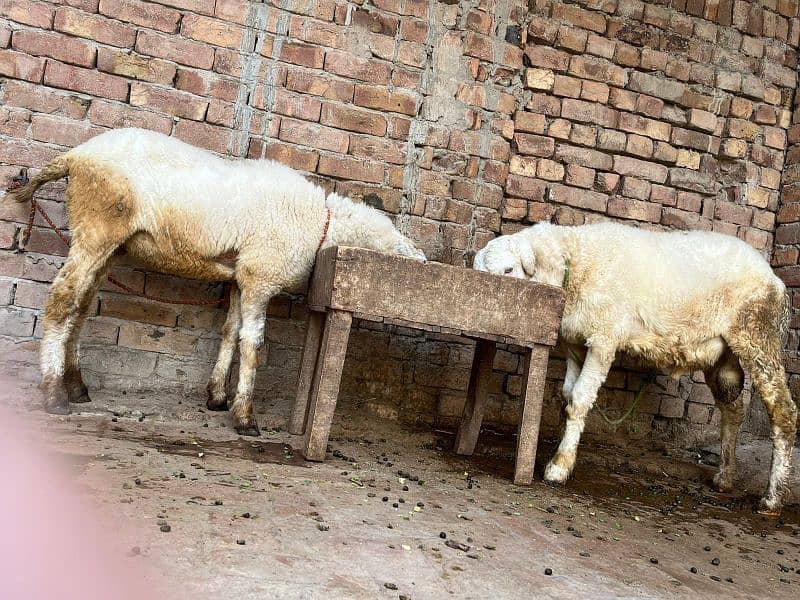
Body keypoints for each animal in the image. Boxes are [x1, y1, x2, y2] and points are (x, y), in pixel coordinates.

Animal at [6, 127, 428, 436]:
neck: (319, 224)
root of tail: (76, 156)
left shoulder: (242, 277)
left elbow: (230, 332)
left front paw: (216, 397)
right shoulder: (260, 275)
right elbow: (253, 344)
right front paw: (244, 417)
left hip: (107, 245)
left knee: (79, 308)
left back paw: (77, 386)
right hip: (97, 226)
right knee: (62, 299)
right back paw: (54, 394)